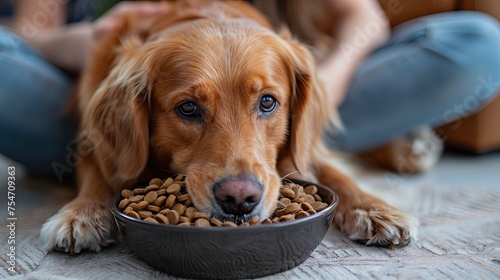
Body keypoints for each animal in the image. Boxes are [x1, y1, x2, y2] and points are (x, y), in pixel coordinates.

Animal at [39, 0, 416, 254]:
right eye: (188, 108)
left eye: (268, 102)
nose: (239, 199)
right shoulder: (93, 138)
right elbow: (94, 174)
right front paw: (82, 214)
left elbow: (332, 171)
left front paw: (374, 208)